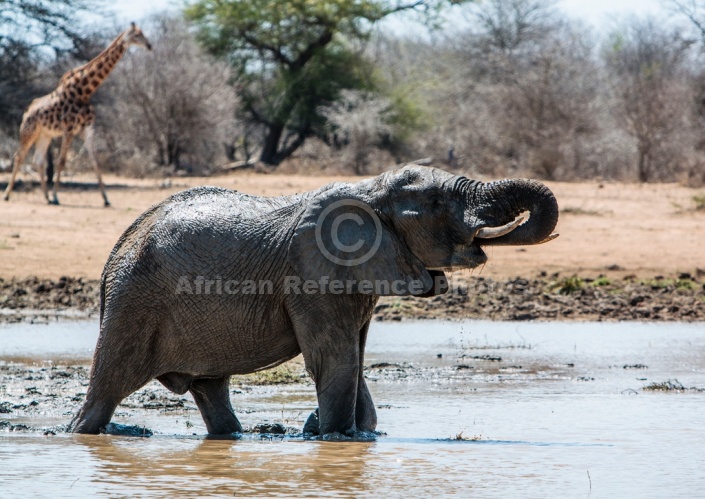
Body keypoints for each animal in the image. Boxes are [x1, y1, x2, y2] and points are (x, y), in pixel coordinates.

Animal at [3, 23, 151, 207]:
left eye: (142, 34)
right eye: (137, 35)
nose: (149, 46)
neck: (85, 91)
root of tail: (28, 110)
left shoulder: (87, 129)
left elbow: (95, 162)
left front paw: (106, 199)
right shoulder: (69, 129)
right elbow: (61, 161)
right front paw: (56, 196)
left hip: (45, 135)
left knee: (38, 160)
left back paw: (45, 197)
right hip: (28, 131)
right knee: (19, 157)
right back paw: (8, 195)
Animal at [70, 165, 556, 438]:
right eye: (437, 202)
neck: (369, 191)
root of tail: (117, 251)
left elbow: (355, 359)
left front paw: (346, 432)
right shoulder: (314, 273)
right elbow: (335, 360)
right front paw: (335, 436)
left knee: (210, 389)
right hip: (134, 302)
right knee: (107, 388)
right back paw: (82, 432)